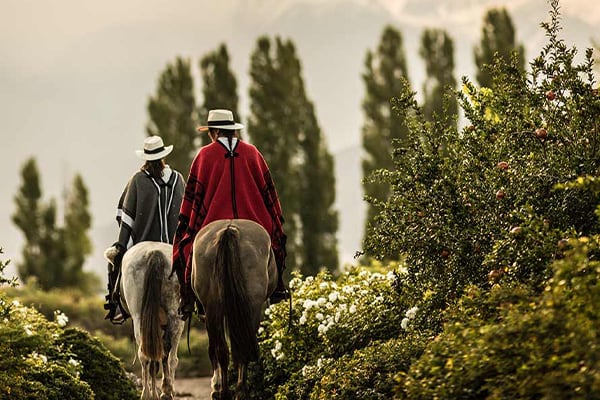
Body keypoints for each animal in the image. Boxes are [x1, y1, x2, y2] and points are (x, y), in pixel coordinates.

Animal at [105, 241, 184, 400]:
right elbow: (162, 357)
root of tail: (155, 252)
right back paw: (165, 390)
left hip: (139, 317)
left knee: (147, 356)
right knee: (170, 357)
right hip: (175, 316)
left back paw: (147, 393)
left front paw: (155, 392)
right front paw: (161, 391)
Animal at [191, 219, 278, 400]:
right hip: (249, 307)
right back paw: (235, 390)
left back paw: (227, 391)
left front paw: (216, 385)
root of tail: (229, 229)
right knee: (237, 346)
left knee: (222, 349)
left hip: (214, 307)